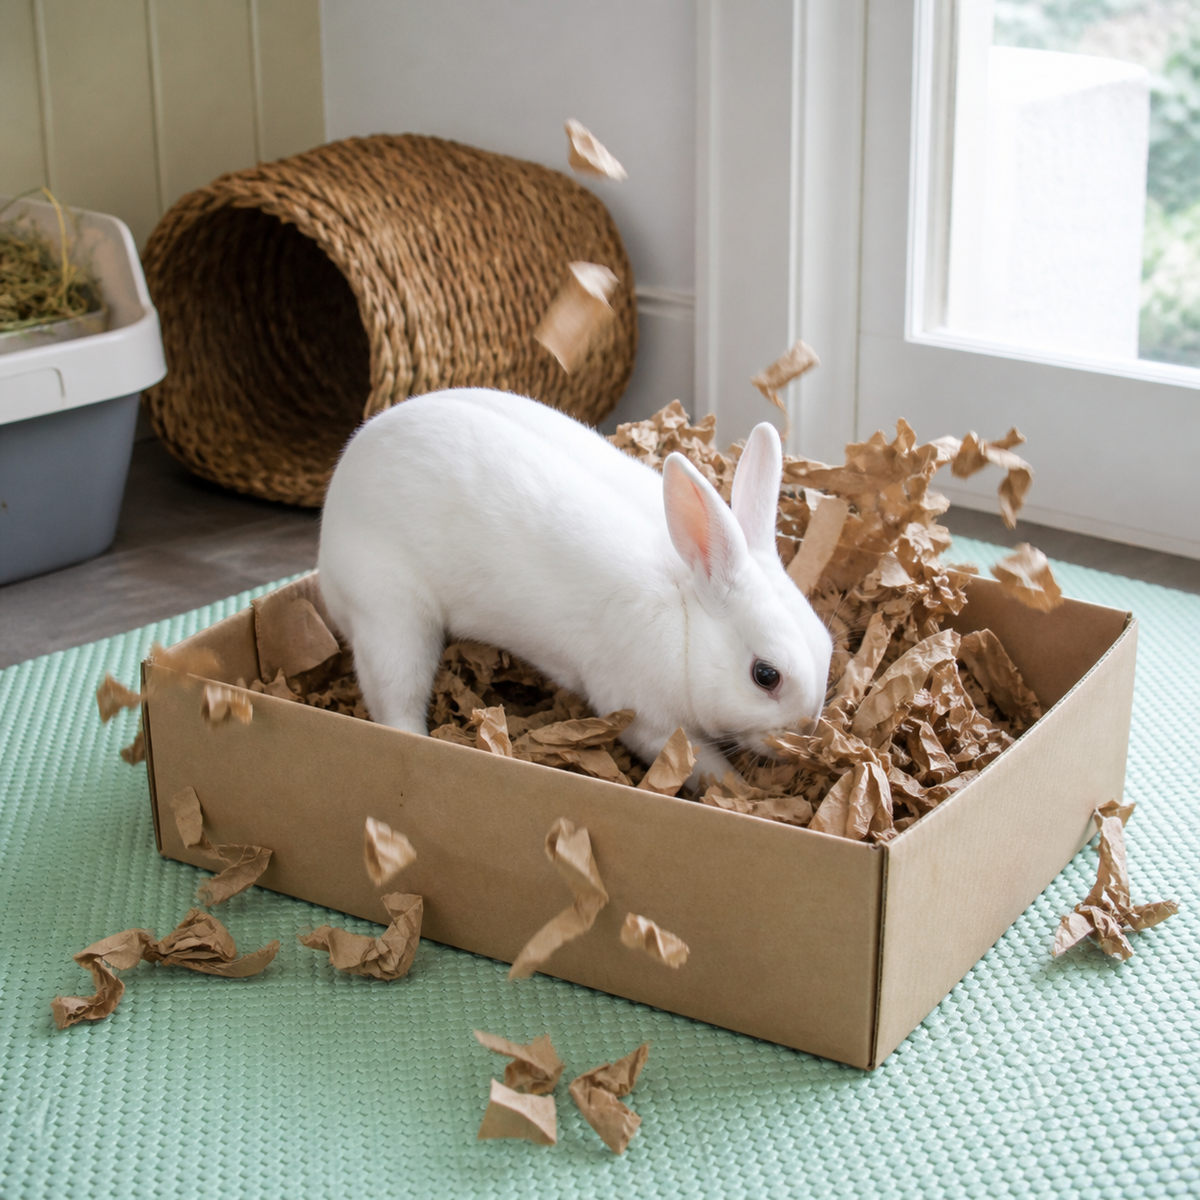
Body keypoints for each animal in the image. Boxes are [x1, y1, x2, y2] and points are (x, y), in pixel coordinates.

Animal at [317, 388, 833, 783]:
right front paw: (740, 793)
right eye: (765, 675)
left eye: (828, 646)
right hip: (392, 619)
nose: (805, 733)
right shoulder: (649, 719)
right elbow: (703, 765)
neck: (688, 621)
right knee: (394, 703)